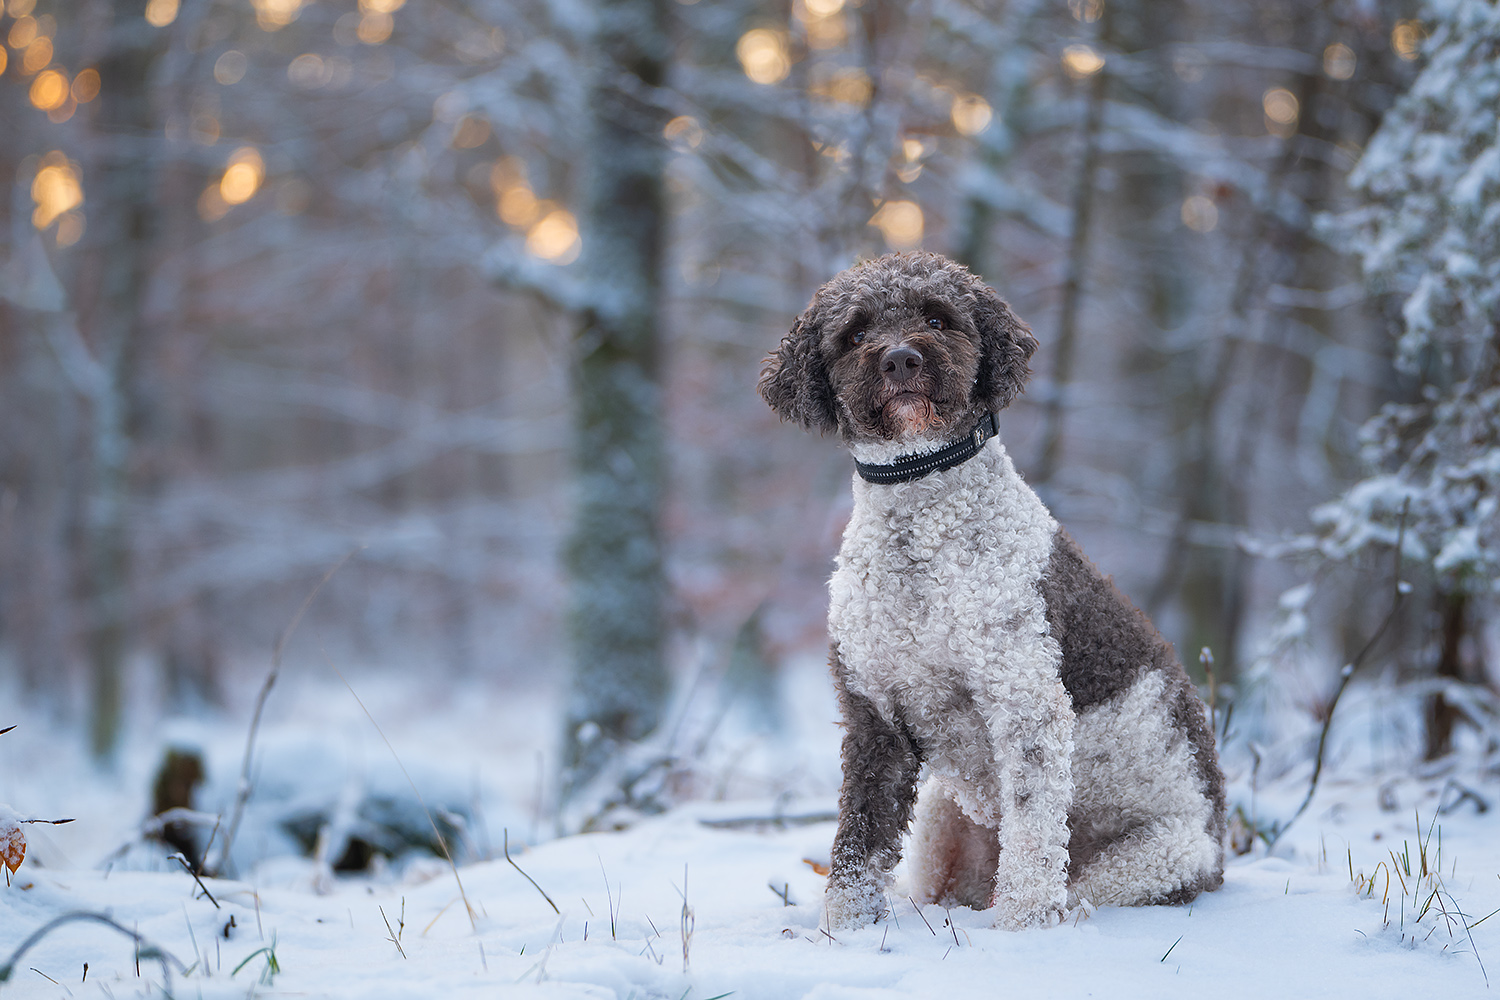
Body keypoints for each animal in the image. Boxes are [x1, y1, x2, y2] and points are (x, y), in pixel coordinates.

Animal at [756, 248, 1224, 929]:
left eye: (937, 317)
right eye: (857, 332)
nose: (901, 359)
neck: (921, 528)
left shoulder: (1027, 702)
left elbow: (1032, 833)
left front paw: (1022, 929)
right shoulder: (874, 715)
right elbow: (858, 846)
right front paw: (845, 931)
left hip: (1158, 858)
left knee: (1076, 881)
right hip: (940, 817)